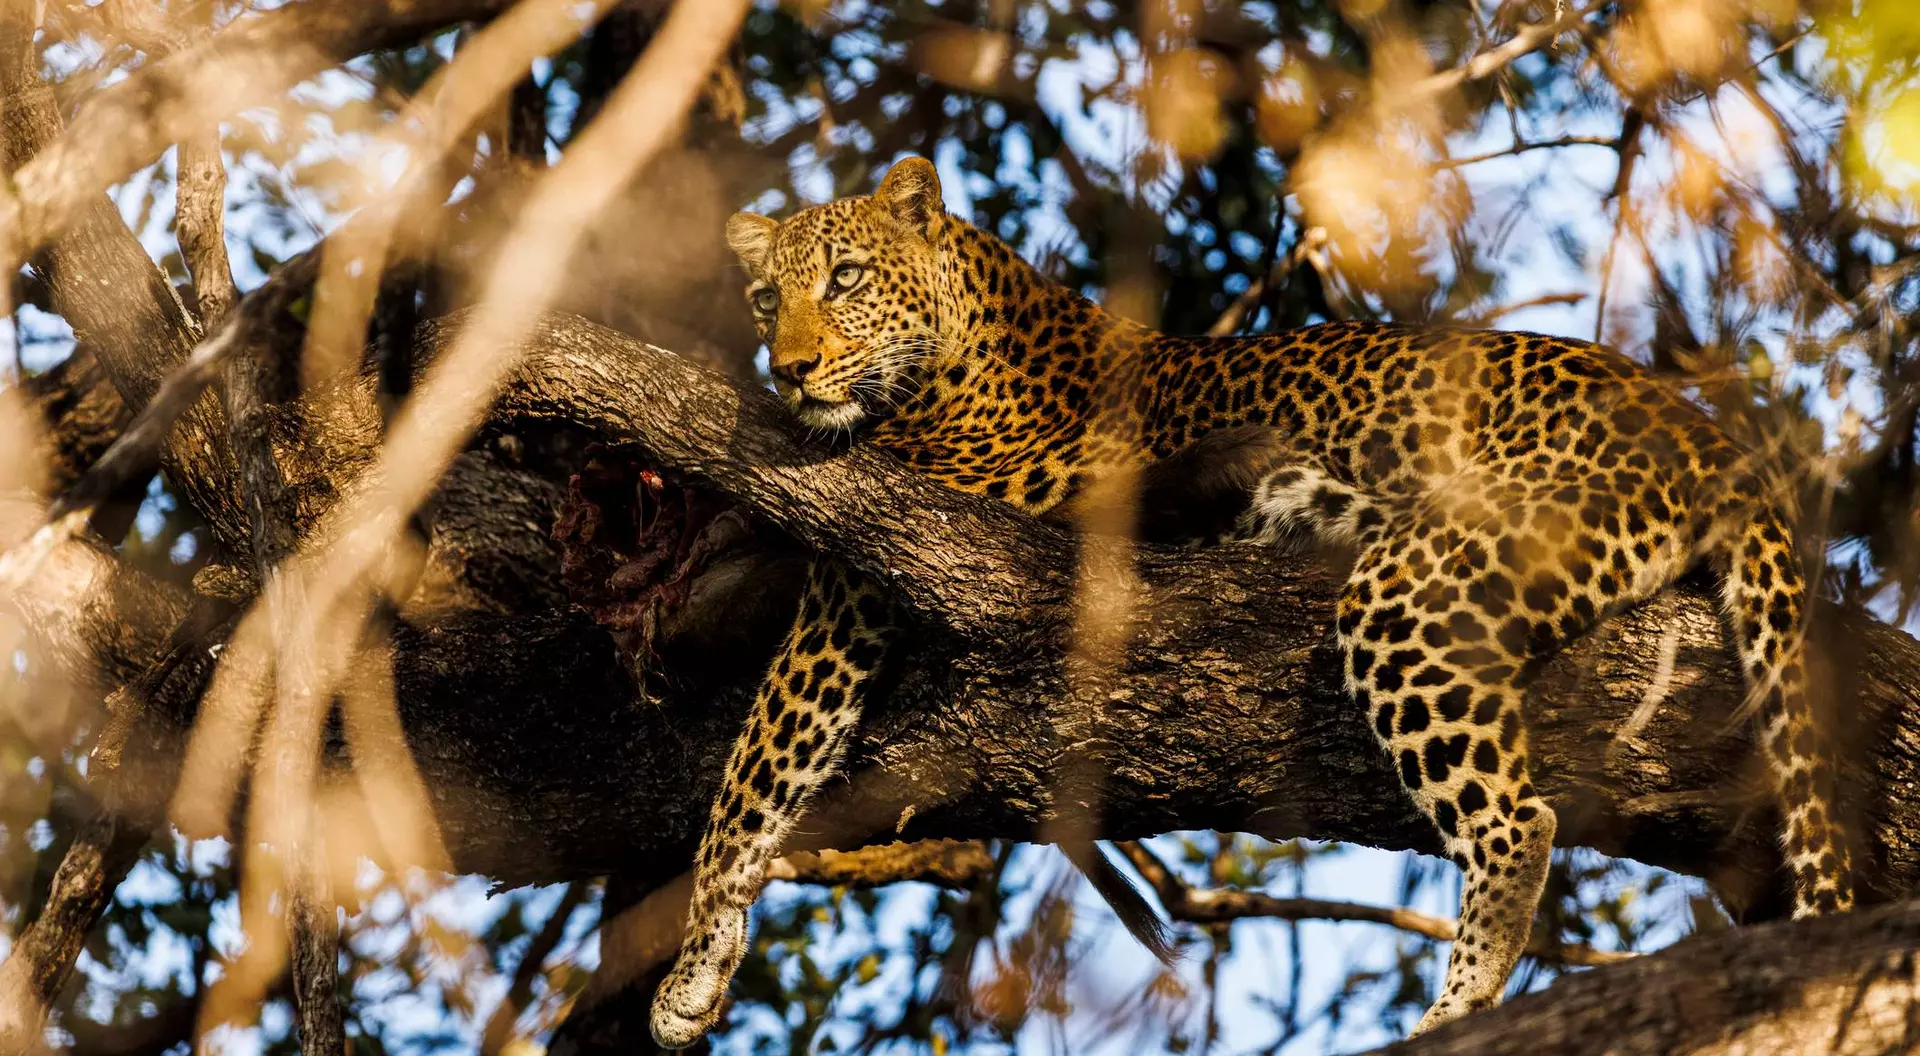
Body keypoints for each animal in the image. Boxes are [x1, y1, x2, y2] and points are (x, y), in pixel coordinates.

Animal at [648, 155, 1854, 1047]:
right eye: (768, 298)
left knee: (1520, 820)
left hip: (1412, 588)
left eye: (847, 278)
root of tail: (1707, 434)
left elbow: (753, 773)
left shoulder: (862, 576)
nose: (789, 369)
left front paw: (687, 974)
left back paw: (1455, 1010)